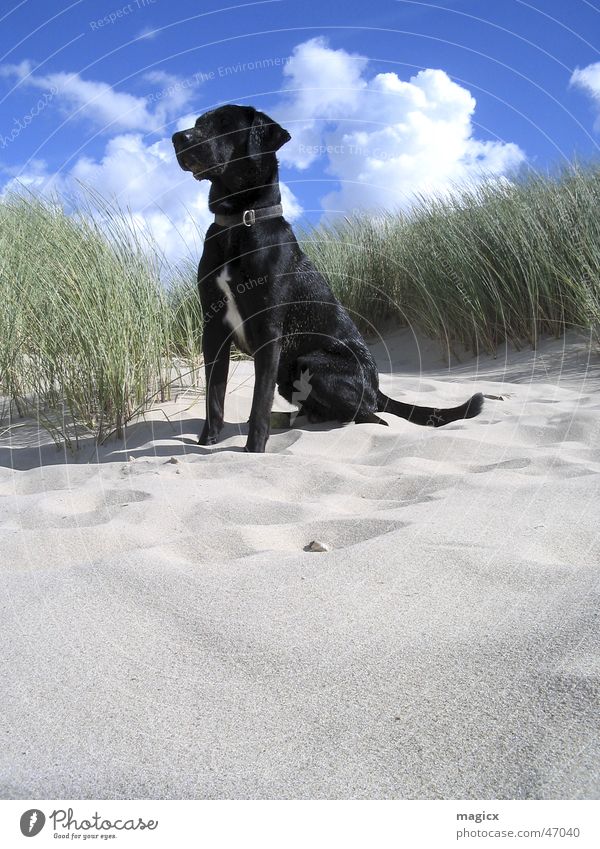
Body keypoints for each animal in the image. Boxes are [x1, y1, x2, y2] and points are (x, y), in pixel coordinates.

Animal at [172, 104, 482, 450]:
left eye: (226, 124)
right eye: (199, 123)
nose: (178, 138)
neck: (239, 221)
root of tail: (378, 389)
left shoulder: (268, 331)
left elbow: (259, 400)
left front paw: (254, 449)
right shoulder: (213, 328)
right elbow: (214, 395)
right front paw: (207, 442)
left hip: (311, 362)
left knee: (369, 414)